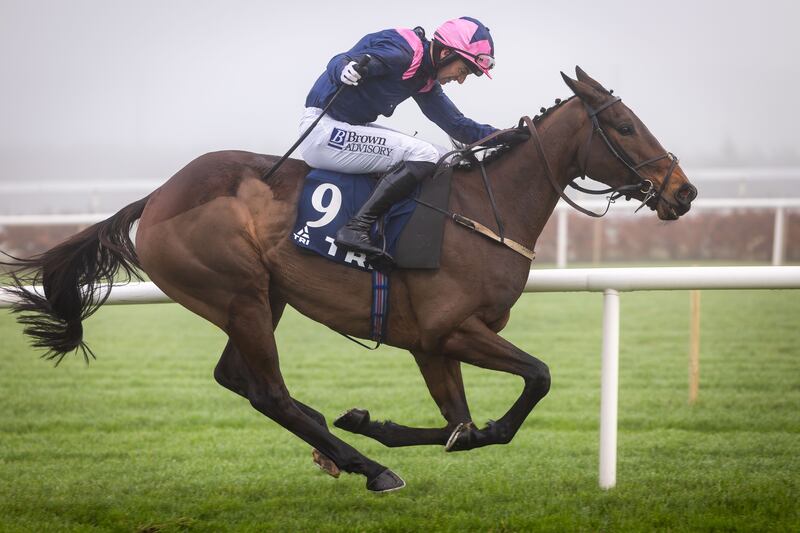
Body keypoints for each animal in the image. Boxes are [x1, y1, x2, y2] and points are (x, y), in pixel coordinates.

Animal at [3, 68, 692, 492]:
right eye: (624, 127)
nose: (683, 193)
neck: (482, 207)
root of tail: (158, 196)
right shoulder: (449, 330)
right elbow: (531, 384)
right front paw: (374, 433)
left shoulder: (430, 343)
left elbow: (460, 428)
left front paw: (367, 421)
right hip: (239, 292)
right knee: (268, 392)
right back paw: (366, 465)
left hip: (263, 298)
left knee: (239, 379)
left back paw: (338, 448)